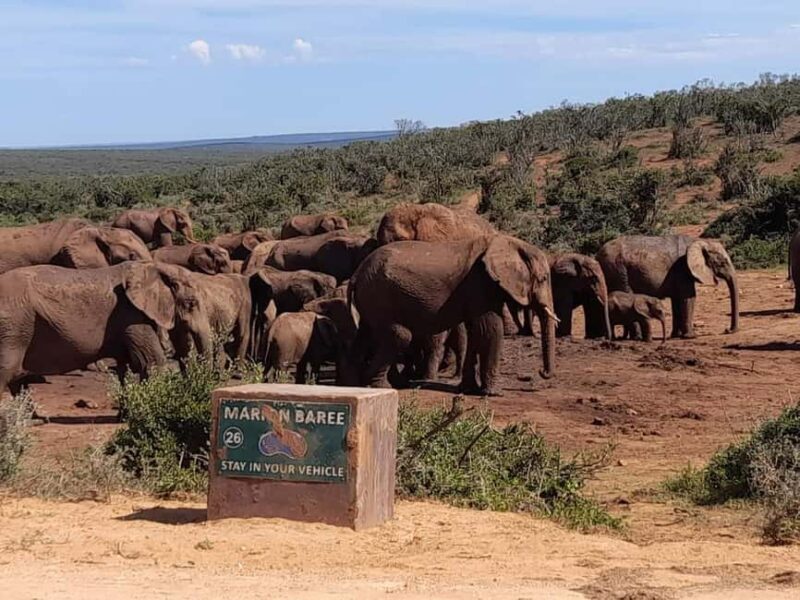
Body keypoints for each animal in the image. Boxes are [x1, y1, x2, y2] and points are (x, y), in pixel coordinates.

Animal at [0, 262, 199, 395]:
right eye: (191, 303)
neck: (154, 266)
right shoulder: (131, 313)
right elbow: (149, 361)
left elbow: (125, 366)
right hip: (13, 326)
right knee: (7, 371)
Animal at [349, 234, 556, 396]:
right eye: (543, 278)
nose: (542, 372)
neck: (507, 242)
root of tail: (356, 273)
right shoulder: (480, 284)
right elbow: (489, 330)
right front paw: (494, 393)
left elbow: (475, 333)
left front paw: (469, 390)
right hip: (380, 296)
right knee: (400, 336)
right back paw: (381, 386)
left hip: (371, 299)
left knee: (366, 336)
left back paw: (365, 383)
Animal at [597, 235, 739, 338]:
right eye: (723, 262)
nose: (727, 330)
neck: (699, 241)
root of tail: (598, 254)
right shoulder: (682, 268)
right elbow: (689, 298)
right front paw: (691, 336)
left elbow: (676, 301)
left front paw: (676, 336)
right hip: (618, 270)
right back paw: (636, 338)